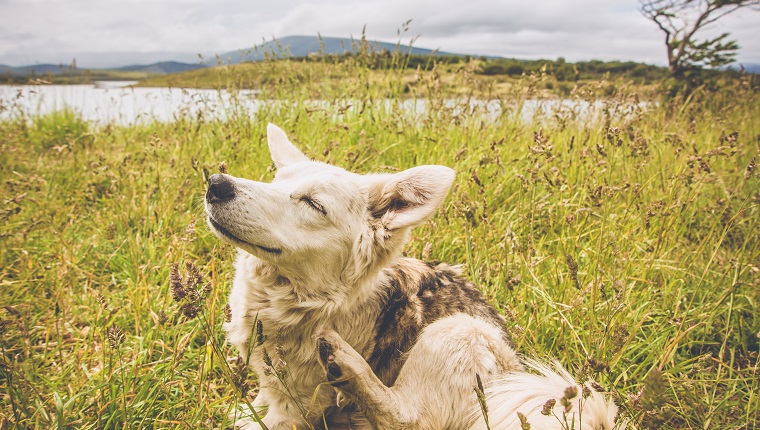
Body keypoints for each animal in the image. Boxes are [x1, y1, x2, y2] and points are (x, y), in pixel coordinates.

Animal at [205, 122, 620, 428]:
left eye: (312, 203)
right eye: (275, 184)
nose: (216, 184)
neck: (305, 302)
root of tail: (516, 374)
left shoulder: (298, 405)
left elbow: (276, 418)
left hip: (458, 331)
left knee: (406, 419)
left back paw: (346, 365)